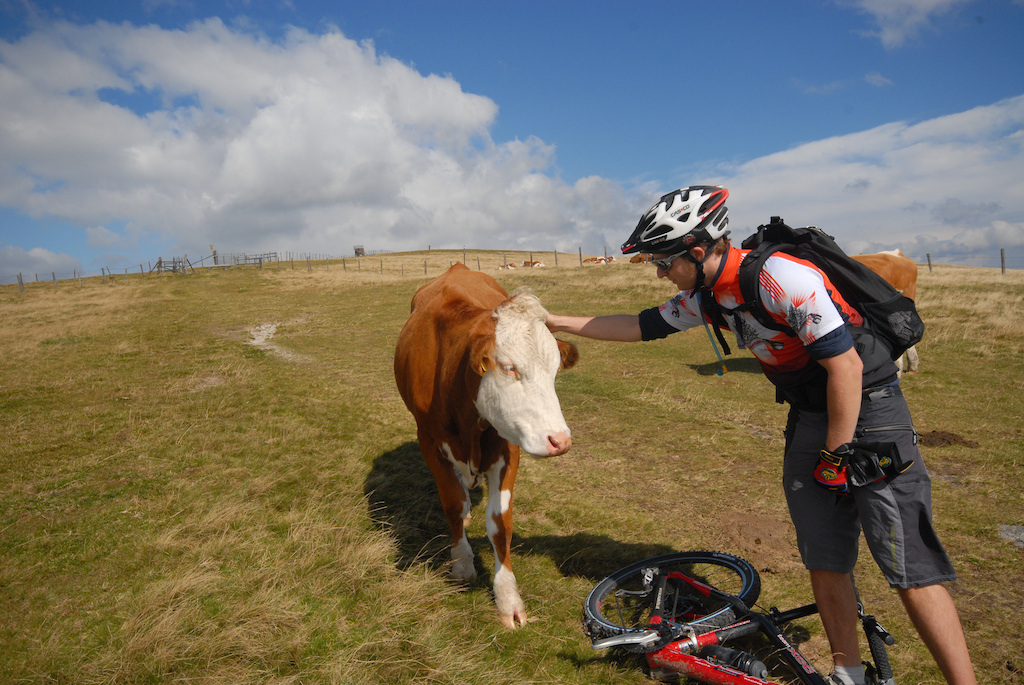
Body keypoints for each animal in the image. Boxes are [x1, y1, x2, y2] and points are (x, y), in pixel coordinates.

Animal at [393, 264, 578, 628]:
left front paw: (508, 597)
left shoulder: (507, 446)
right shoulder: (428, 441)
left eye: (554, 371)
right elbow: (453, 504)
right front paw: (462, 562)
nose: (559, 440)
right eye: (509, 367)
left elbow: (500, 523)